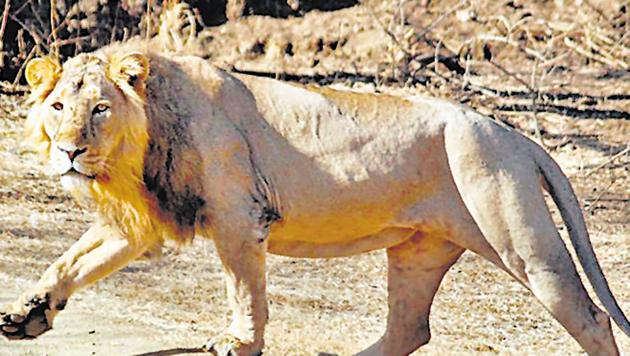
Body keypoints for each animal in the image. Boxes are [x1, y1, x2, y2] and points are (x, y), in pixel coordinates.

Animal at [1, 29, 630, 356]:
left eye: (99, 109)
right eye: (57, 106)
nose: (69, 151)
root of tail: (517, 136)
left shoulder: (239, 217)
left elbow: (244, 290)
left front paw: (237, 342)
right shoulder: (144, 219)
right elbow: (70, 262)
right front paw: (26, 315)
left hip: (522, 242)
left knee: (592, 318)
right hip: (418, 250)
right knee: (409, 328)